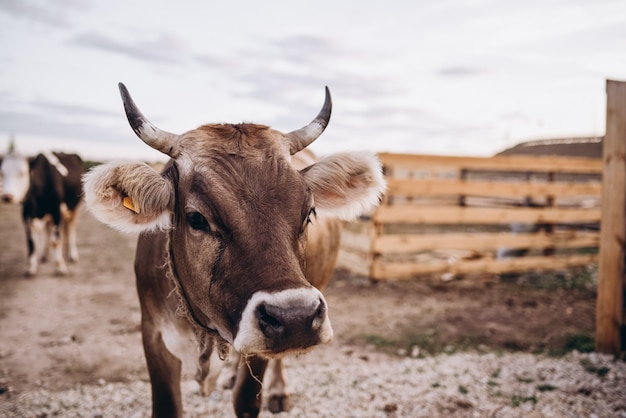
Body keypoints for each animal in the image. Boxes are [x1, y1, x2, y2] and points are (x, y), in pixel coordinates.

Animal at [0, 145, 82, 278]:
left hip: (74, 208)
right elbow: (31, 243)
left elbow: (55, 241)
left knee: (71, 229)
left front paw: (60, 267)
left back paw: (72, 255)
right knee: (49, 230)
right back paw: (44, 255)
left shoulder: (56, 212)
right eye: (2, 173)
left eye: (22, 173)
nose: (7, 196)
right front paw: (31, 268)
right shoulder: (26, 215)